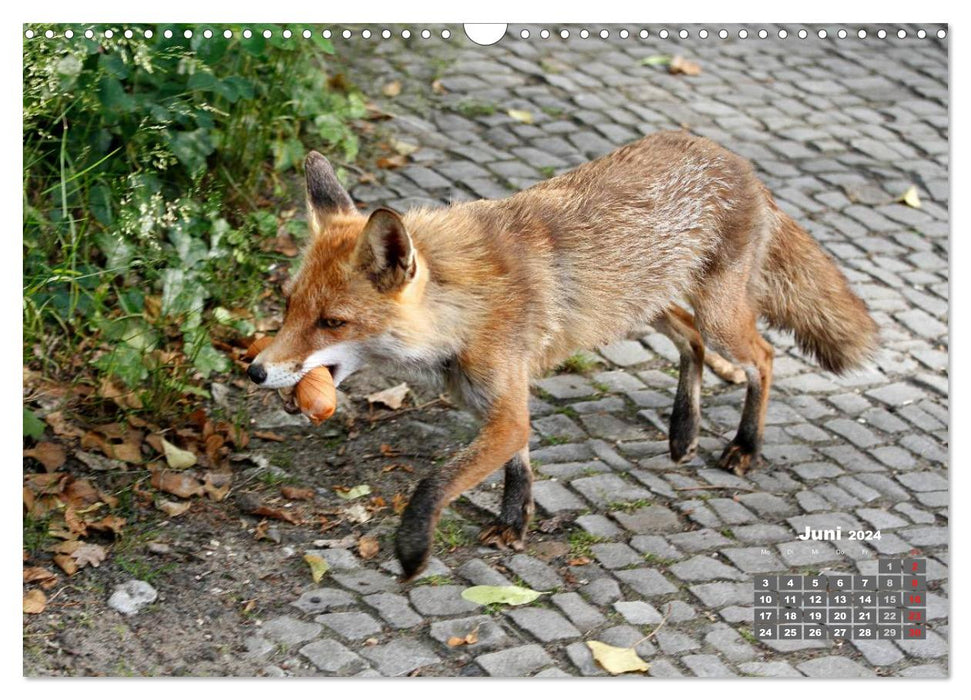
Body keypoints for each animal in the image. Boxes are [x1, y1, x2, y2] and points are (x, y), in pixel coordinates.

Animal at [249, 131, 880, 580]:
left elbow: (436, 481)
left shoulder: (505, 408)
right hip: (634, 306)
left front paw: (411, 550)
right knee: (690, 340)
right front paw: (515, 523)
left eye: (333, 323)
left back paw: (745, 445)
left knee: (764, 358)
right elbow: (519, 467)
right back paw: (683, 429)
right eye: (289, 306)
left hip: (716, 315)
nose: (255, 371)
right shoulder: (502, 405)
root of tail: (737, 161)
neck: (464, 307)